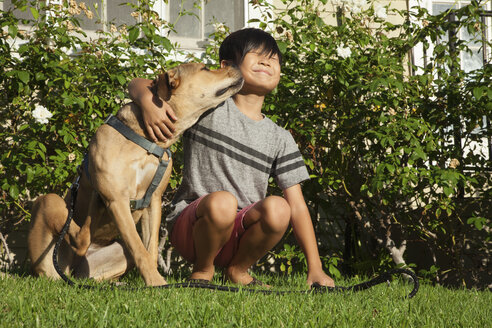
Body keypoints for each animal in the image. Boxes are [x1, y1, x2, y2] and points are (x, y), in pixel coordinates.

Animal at [27, 62, 243, 286]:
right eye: (205, 69)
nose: (235, 65)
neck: (146, 140)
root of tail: (68, 270)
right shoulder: (117, 200)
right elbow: (140, 248)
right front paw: (157, 283)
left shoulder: (153, 201)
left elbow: (149, 249)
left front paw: (153, 281)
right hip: (48, 205)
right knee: (78, 237)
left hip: (112, 255)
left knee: (91, 270)